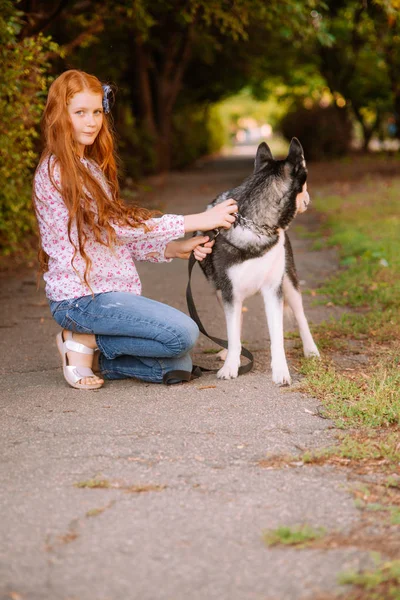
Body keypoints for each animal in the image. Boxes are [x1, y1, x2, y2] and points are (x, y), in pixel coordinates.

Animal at [198, 138, 320, 384]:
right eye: (305, 186)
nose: (309, 199)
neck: (254, 225)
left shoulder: (273, 290)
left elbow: (278, 337)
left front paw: (281, 370)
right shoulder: (230, 292)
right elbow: (234, 331)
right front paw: (230, 365)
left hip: (289, 282)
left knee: (300, 316)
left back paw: (310, 349)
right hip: (220, 292)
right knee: (235, 325)